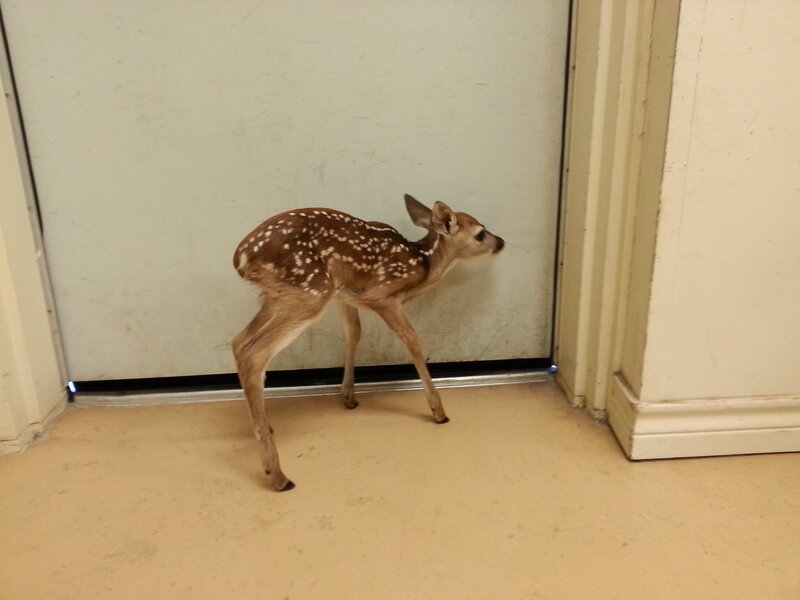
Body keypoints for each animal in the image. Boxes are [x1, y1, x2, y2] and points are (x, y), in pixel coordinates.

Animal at [232, 194, 505, 491]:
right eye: (480, 233)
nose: (501, 242)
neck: (423, 264)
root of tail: (241, 258)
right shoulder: (381, 296)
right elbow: (413, 340)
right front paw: (438, 411)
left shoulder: (345, 296)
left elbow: (354, 334)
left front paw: (349, 397)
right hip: (310, 291)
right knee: (254, 352)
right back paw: (278, 475)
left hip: (280, 296)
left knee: (239, 341)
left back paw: (265, 426)